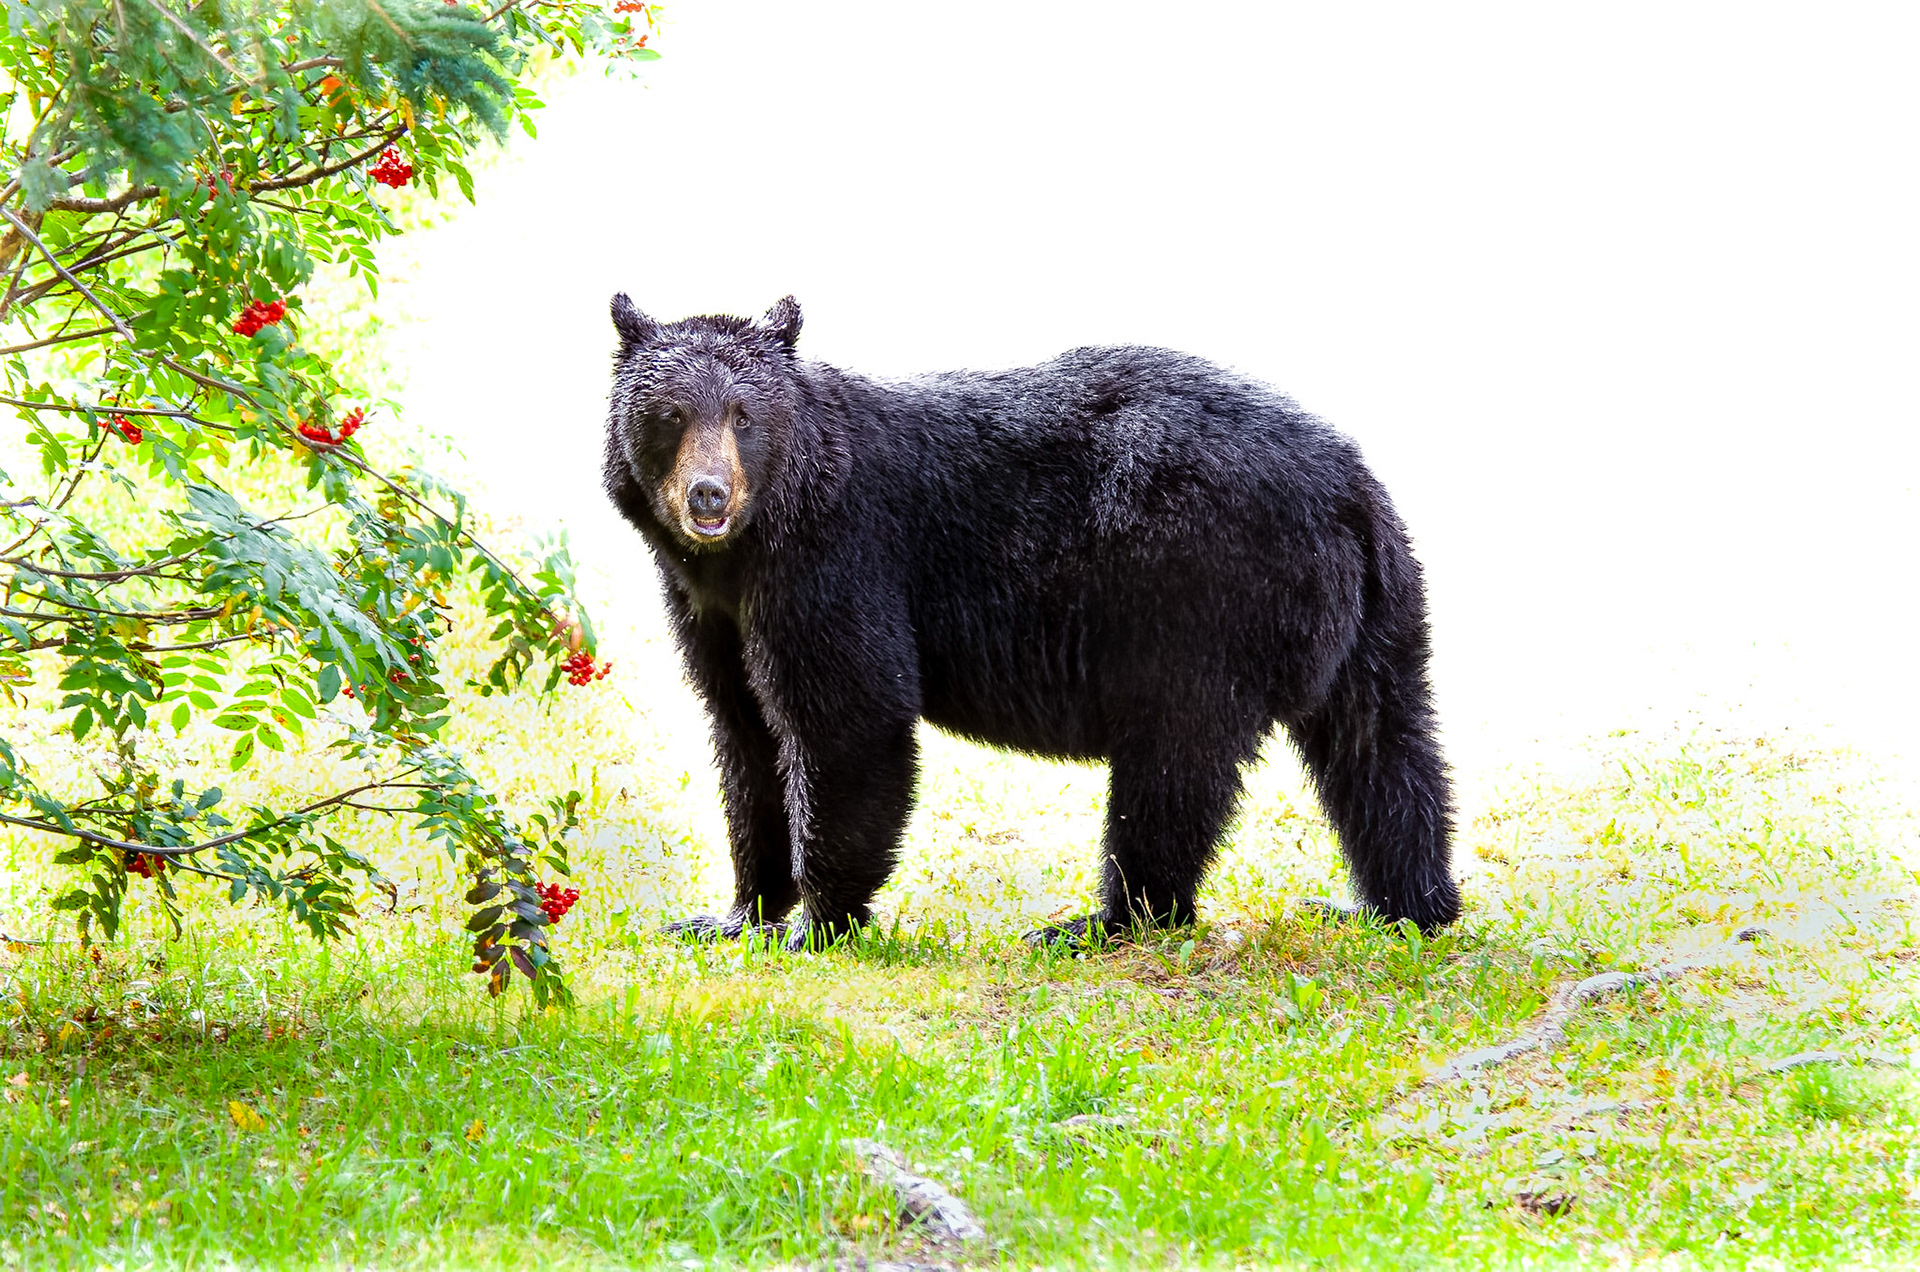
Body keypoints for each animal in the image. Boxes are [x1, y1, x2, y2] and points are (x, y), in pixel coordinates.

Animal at [602, 294, 1460, 948]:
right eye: (670, 415)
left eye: (744, 416)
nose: (708, 495)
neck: (750, 549)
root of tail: (1349, 486)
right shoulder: (712, 609)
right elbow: (744, 735)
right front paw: (733, 914)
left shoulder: (839, 560)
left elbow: (848, 720)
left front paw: (819, 922)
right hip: (1377, 612)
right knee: (1384, 746)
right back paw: (1403, 905)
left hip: (1198, 603)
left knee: (1173, 766)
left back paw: (1106, 920)